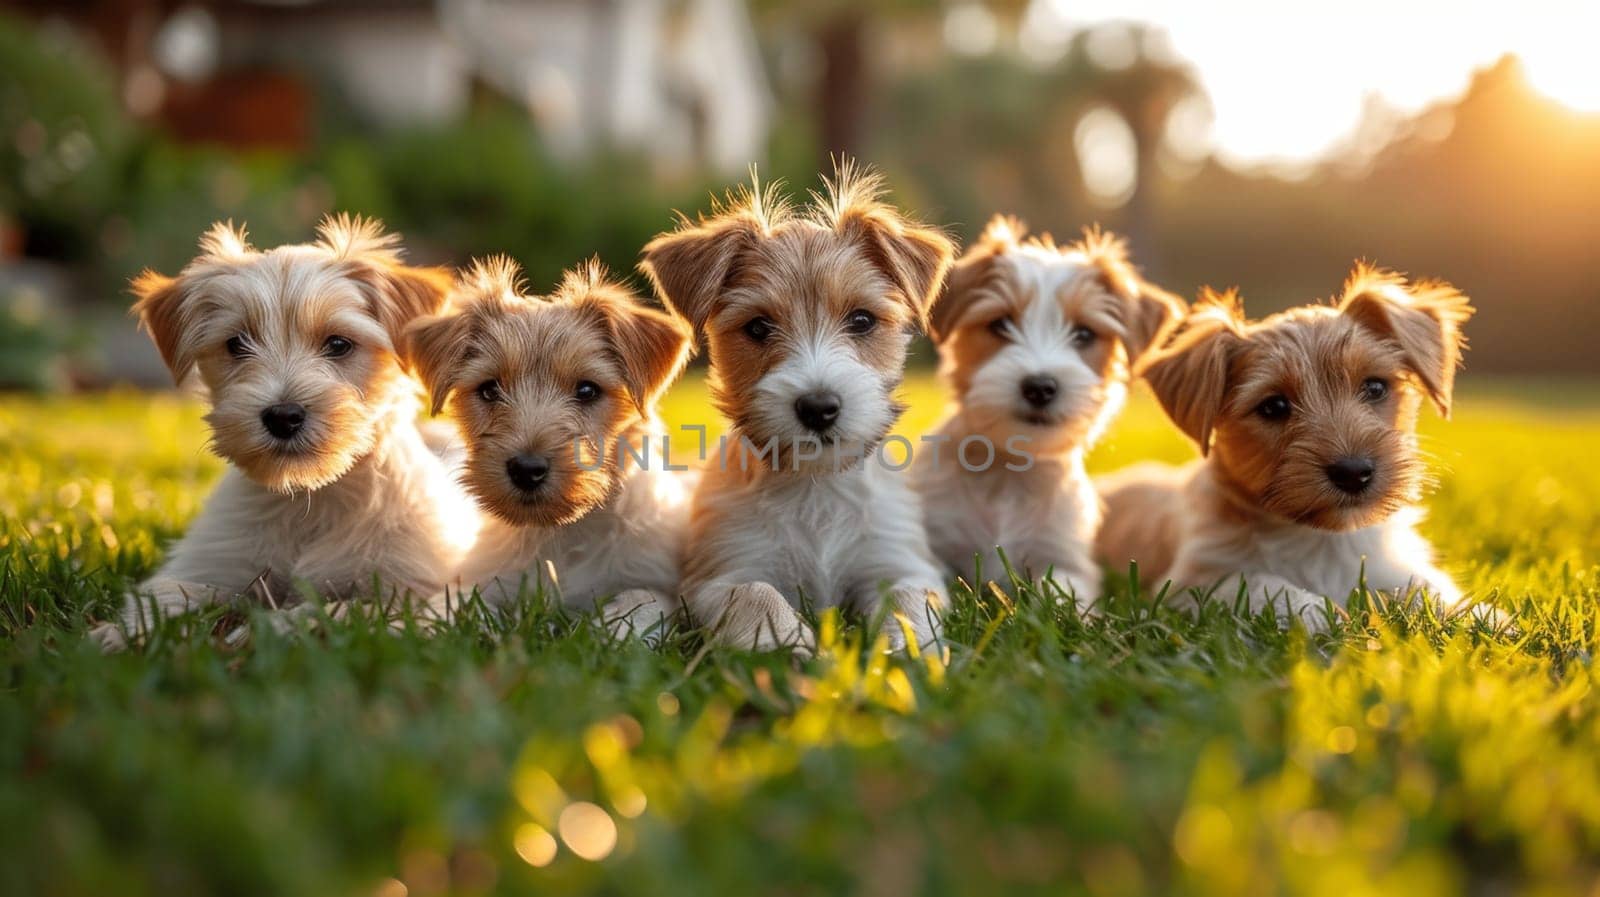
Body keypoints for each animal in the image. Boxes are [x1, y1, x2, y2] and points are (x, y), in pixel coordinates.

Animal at [90, 217, 476, 649]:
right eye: (237, 343)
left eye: (338, 344)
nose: (283, 416)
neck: (309, 501)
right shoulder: (211, 567)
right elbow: (168, 594)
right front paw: (119, 634)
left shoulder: (411, 595)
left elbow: (341, 610)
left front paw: (269, 628)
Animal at [403, 252, 691, 633]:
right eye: (489, 389)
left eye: (587, 390)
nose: (527, 469)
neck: (562, 535)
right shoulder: (482, 578)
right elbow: (453, 604)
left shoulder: (656, 581)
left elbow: (641, 602)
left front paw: (610, 631)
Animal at [640, 164, 960, 649]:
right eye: (758, 327)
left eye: (862, 320)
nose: (819, 407)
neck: (815, 489)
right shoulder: (719, 577)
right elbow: (756, 593)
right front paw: (788, 643)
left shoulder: (900, 564)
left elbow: (907, 602)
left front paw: (906, 651)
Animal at [921, 217, 1184, 607]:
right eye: (1000, 324)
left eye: (1084, 334)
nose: (1040, 386)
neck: (1009, 475)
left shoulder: (1064, 560)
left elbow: (1059, 593)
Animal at [1100, 263, 1472, 629]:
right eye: (1274, 406)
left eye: (1375, 387)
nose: (1353, 473)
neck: (1321, 539)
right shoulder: (1196, 582)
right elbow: (1261, 583)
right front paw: (1314, 611)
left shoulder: (1392, 564)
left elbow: (1426, 587)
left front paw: (1477, 616)